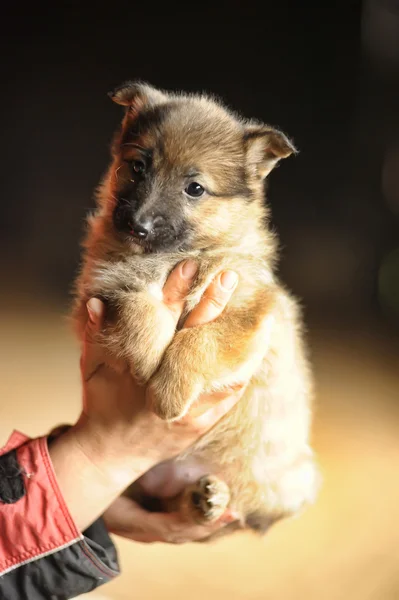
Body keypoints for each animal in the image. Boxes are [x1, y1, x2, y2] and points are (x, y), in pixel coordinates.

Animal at [72, 82, 318, 536]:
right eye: (137, 167)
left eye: (195, 188)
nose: (137, 225)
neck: (171, 256)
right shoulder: (99, 291)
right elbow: (137, 308)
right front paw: (148, 360)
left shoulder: (248, 309)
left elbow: (197, 339)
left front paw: (168, 392)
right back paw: (201, 500)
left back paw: (213, 496)